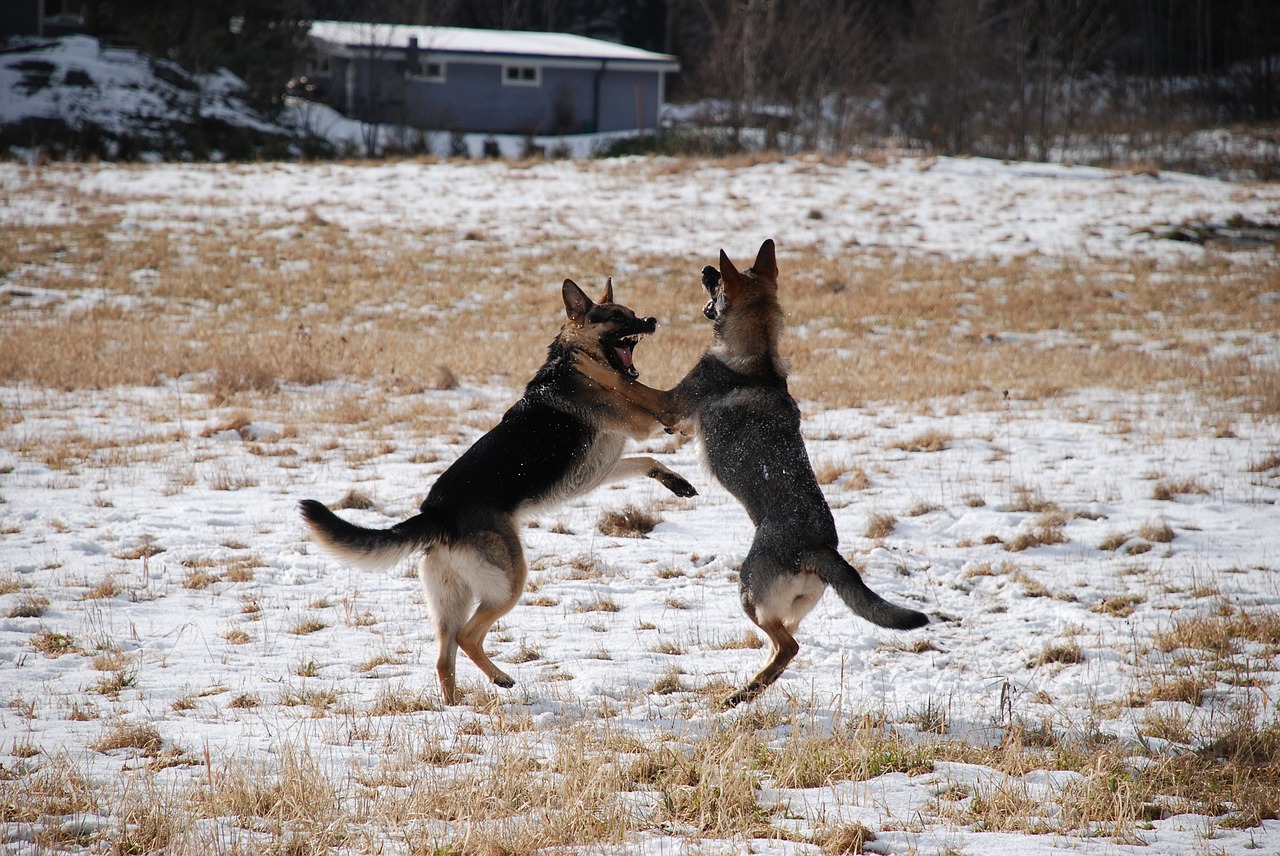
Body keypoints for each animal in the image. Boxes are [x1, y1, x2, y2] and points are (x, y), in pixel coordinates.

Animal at [299, 278, 696, 701]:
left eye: (633, 313)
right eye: (617, 318)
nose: (650, 321)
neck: (573, 363)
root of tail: (436, 513)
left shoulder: (601, 469)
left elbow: (645, 460)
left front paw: (676, 481)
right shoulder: (633, 422)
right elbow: (649, 398)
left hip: (450, 597)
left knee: (445, 655)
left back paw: (457, 707)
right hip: (509, 581)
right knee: (468, 636)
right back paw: (500, 678)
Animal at [665, 239, 926, 701]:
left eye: (718, 279)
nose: (704, 269)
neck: (758, 355)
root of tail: (820, 549)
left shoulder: (670, 405)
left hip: (748, 593)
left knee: (788, 645)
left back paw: (740, 694)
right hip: (784, 608)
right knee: (786, 648)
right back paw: (750, 688)